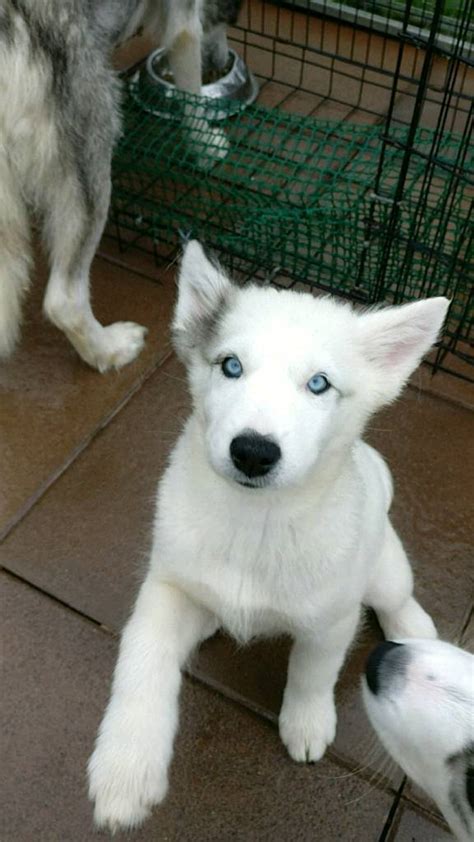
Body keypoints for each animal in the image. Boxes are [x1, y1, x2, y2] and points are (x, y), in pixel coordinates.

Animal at [0, 0, 239, 368]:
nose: (220, 61)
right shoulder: (185, 24)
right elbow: (193, 97)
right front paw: (206, 147)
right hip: (94, 149)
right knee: (63, 301)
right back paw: (110, 350)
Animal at [88, 241, 448, 828]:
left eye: (319, 383)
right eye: (230, 366)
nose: (253, 451)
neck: (255, 524)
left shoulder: (331, 619)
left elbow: (311, 672)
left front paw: (306, 723)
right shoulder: (168, 587)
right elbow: (141, 660)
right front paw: (126, 768)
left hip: (385, 566)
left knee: (396, 597)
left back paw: (413, 627)